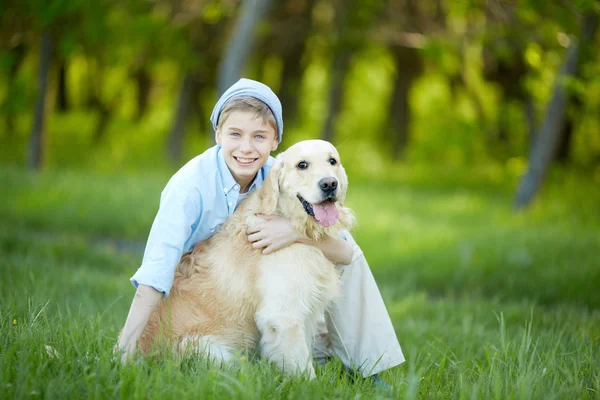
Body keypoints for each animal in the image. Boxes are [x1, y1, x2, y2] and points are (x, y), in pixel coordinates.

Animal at [139, 139, 356, 376]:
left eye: (332, 161)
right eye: (302, 165)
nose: (329, 184)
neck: (289, 219)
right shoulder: (283, 316)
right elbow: (304, 370)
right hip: (203, 347)